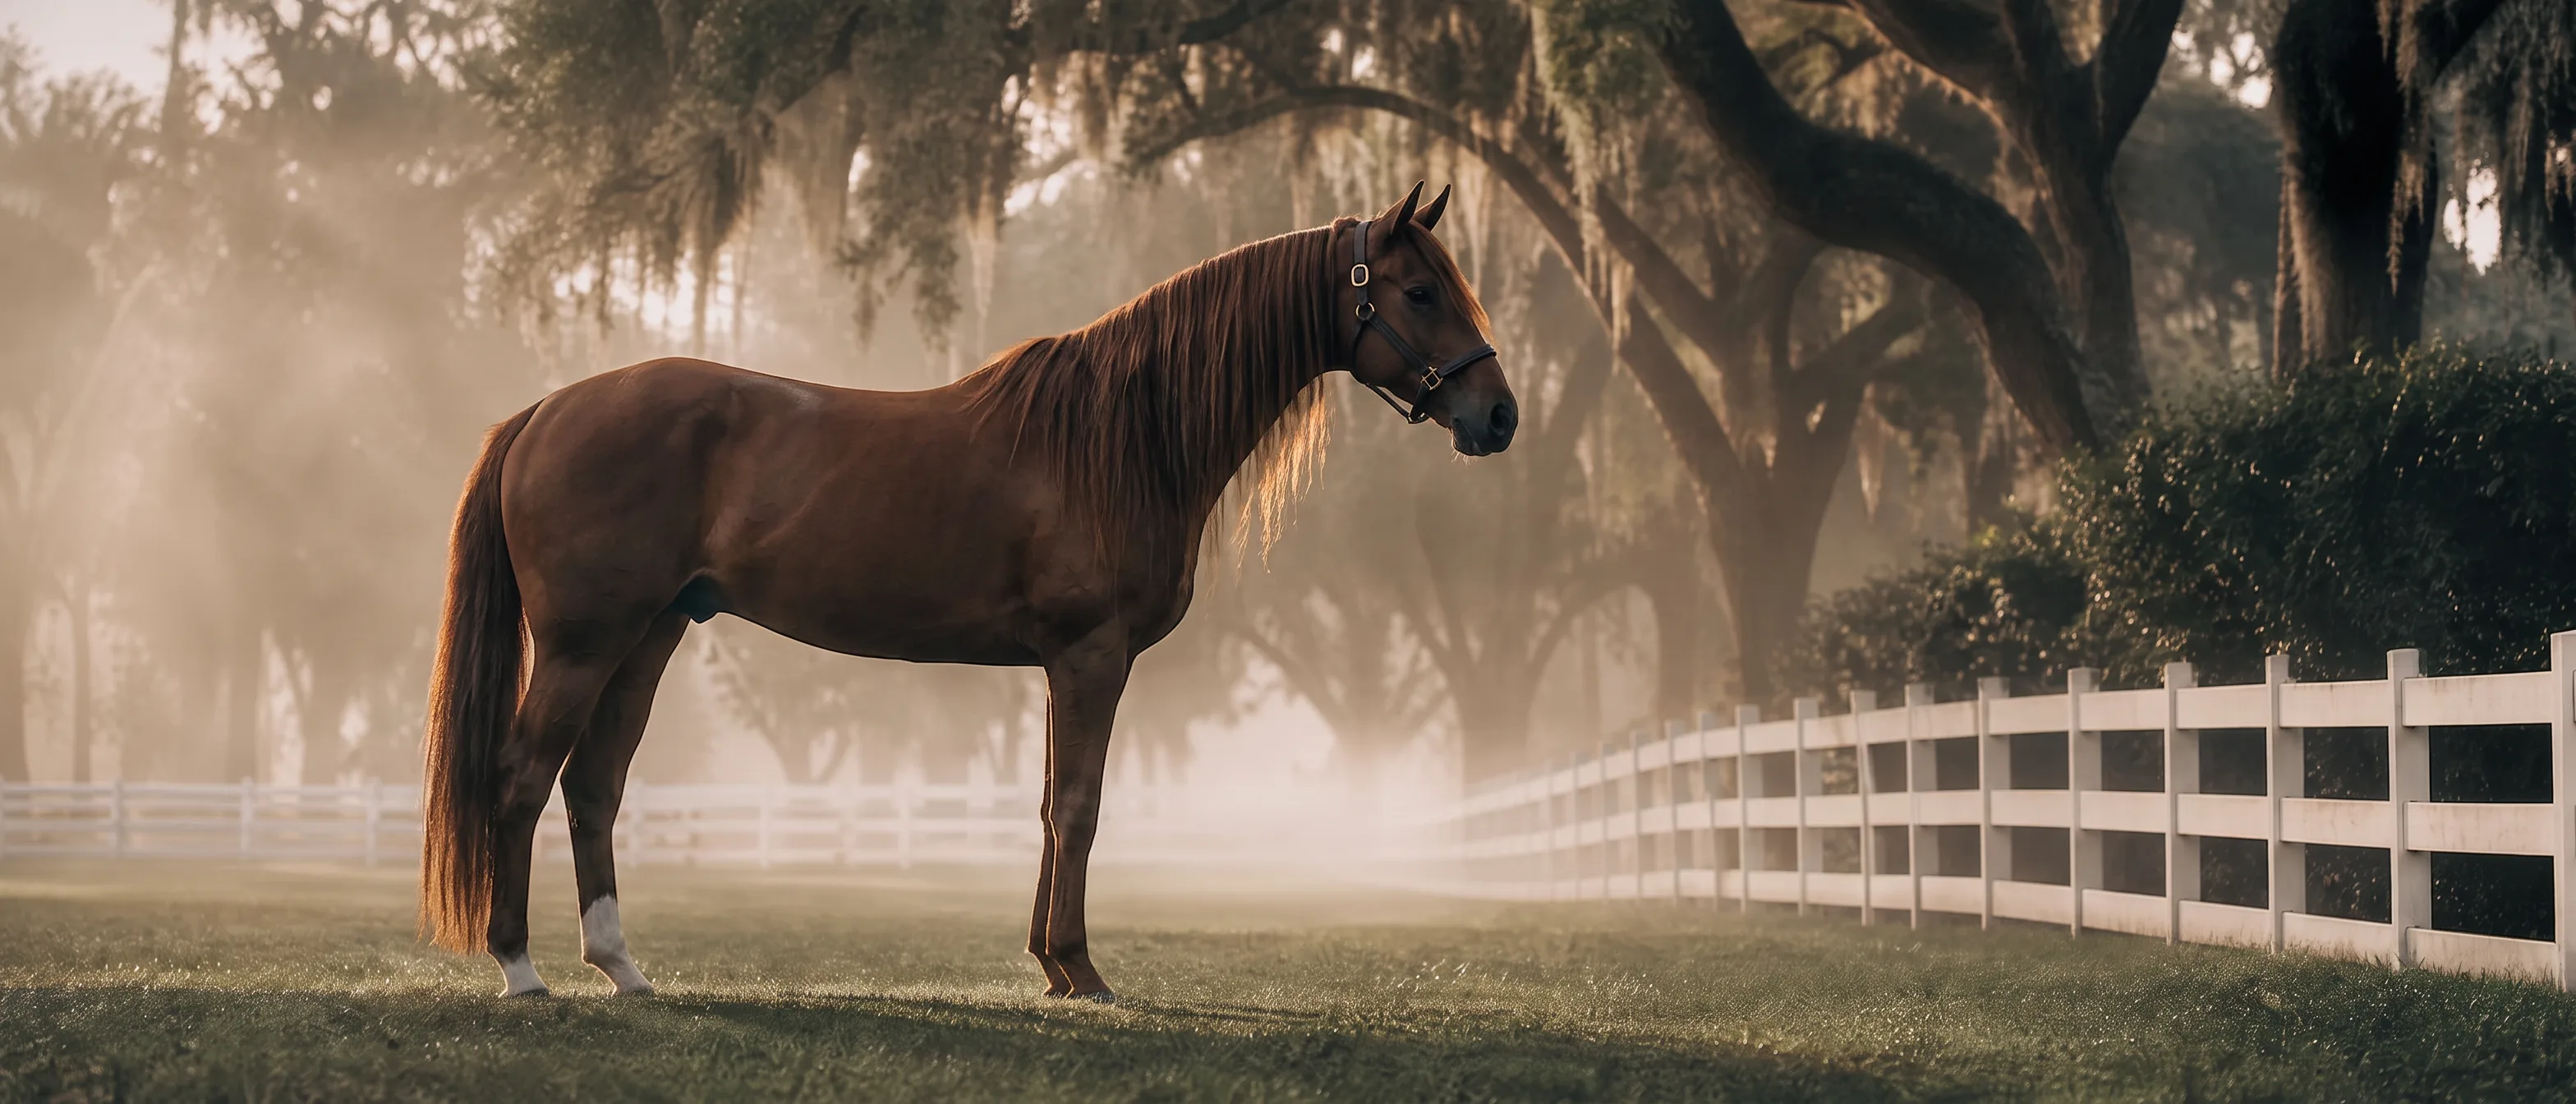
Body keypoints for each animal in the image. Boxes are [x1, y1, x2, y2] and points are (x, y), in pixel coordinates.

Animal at [416, 182, 1516, 1001]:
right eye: (1419, 291)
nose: (1497, 414)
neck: (1121, 437)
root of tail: (547, 408)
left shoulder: (1064, 666)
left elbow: (1046, 807)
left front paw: (1050, 965)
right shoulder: (1090, 656)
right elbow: (1079, 807)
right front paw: (1079, 969)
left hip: (646, 638)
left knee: (592, 787)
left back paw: (623, 968)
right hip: (582, 643)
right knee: (521, 779)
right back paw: (521, 971)